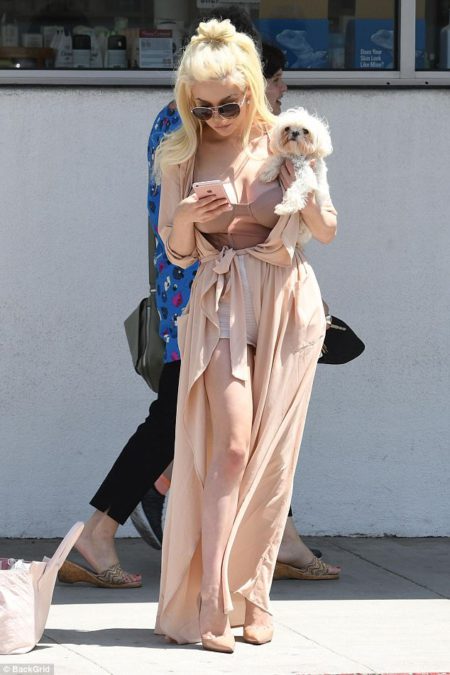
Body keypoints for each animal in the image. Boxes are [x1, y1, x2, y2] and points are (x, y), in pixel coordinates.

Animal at [259, 107, 332, 243]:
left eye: (305, 131)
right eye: (287, 128)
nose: (294, 133)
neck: (296, 155)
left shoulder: (306, 177)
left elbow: (294, 191)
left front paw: (285, 208)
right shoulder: (286, 156)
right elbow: (279, 157)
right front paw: (267, 172)